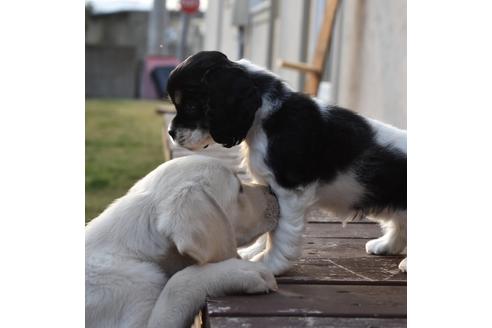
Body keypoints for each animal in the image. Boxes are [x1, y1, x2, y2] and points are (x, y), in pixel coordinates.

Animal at [167, 51, 406, 276]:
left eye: (191, 106)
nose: (170, 132)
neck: (266, 116)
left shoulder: (289, 191)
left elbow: (280, 231)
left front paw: (269, 264)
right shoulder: (269, 188)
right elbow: (268, 219)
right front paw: (255, 251)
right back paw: (387, 245)